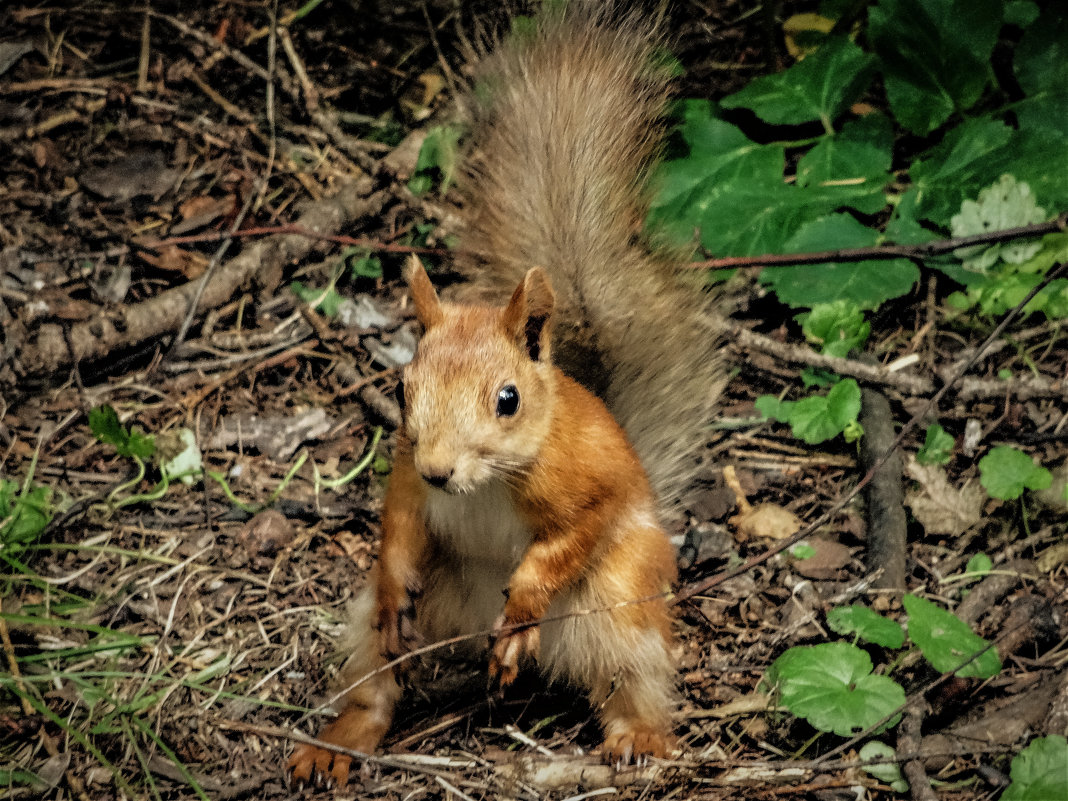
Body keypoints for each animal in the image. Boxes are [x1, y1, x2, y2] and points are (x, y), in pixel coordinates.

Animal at [290, 1, 726, 790]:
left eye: (509, 399)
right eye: (401, 386)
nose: (441, 469)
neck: (485, 483)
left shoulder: (588, 484)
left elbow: (570, 538)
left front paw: (523, 601)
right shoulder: (407, 474)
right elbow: (399, 524)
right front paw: (396, 574)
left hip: (619, 609)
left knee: (631, 682)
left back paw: (634, 734)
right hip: (402, 617)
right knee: (376, 674)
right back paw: (338, 739)